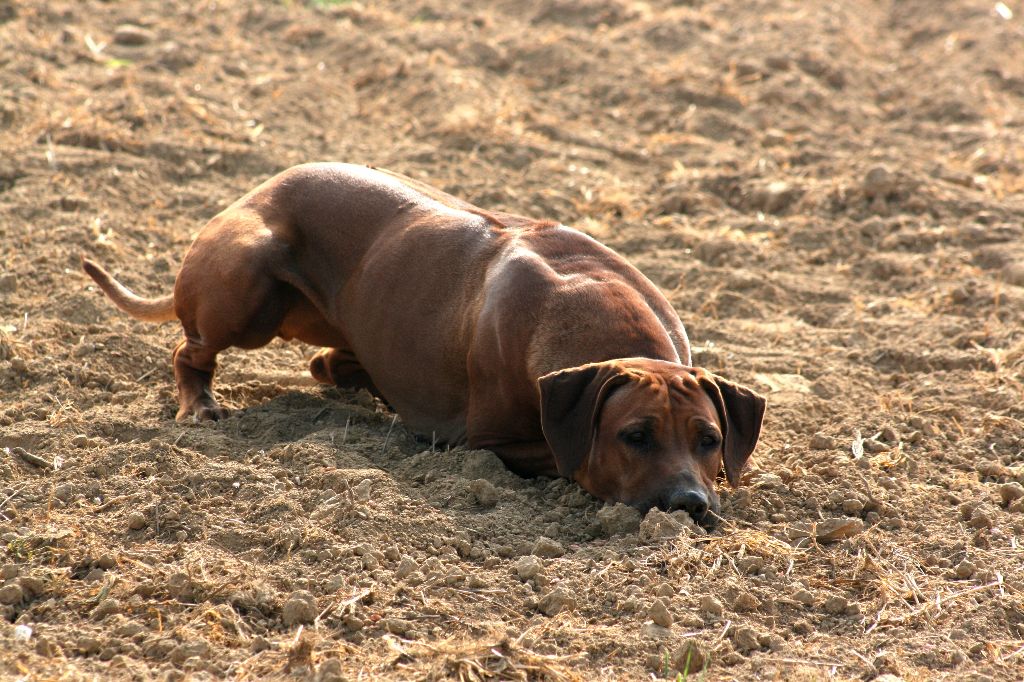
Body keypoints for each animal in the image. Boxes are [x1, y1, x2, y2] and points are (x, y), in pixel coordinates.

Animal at [83, 160, 765, 524]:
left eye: (709, 439)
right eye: (634, 436)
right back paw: (198, 403)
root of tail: (252, 191)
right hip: (247, 288)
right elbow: (566, 458)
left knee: (326, 362)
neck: (586, 313)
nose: (691, 503)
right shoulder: (487, 440)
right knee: (189, 350)